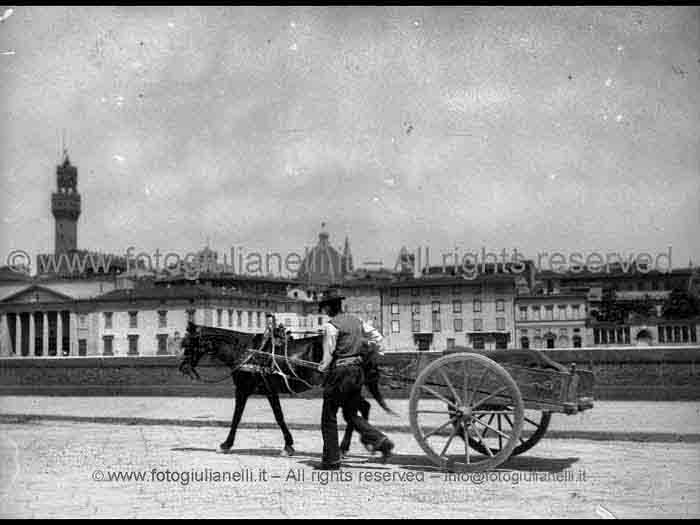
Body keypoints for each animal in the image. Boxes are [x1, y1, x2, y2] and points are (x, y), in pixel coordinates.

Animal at [178, 322, 392, 452]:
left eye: (188, 344)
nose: (183, 368)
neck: (248, 352)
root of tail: (363, 346)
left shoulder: (244, 390)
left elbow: (239, 417)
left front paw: (226, 443)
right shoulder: (268, 391)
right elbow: (278, 416)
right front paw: (288, 443)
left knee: (356, 409)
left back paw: (350, 444)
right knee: (361, 408)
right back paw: (359, 443)